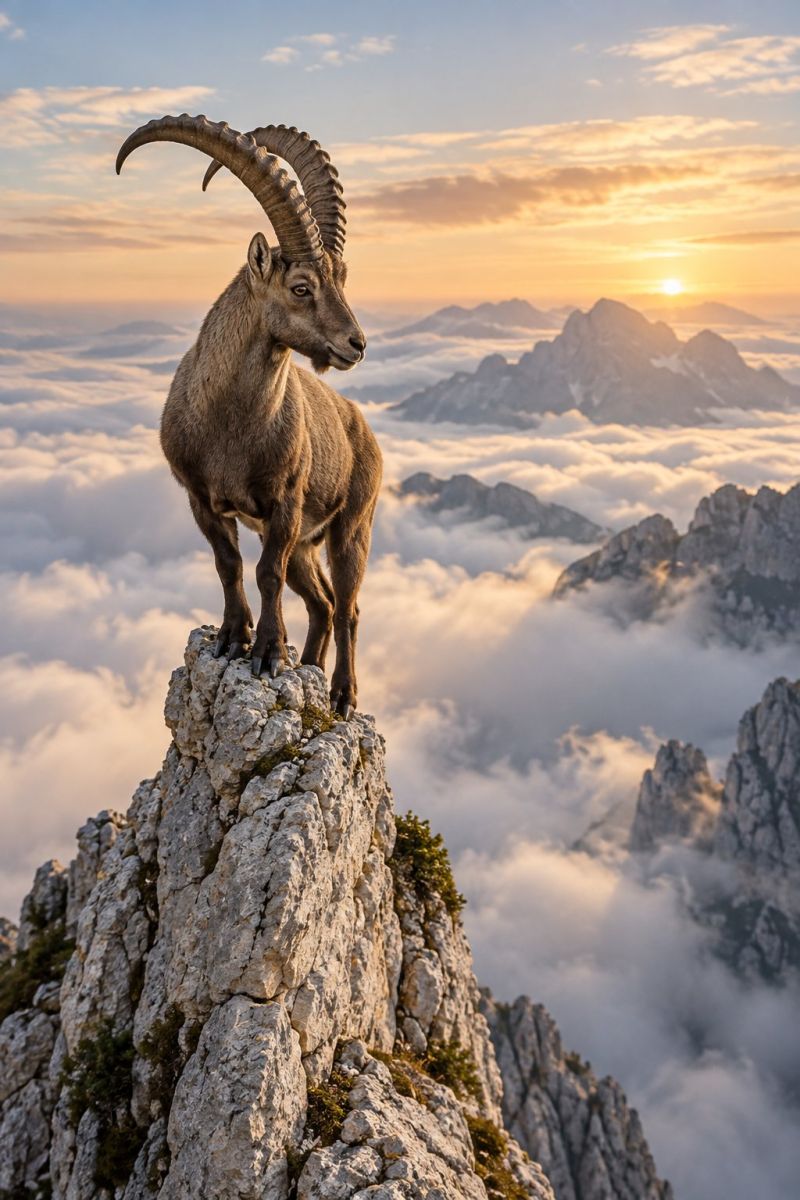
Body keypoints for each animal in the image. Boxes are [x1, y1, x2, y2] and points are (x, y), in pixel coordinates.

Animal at [116, 115, 382, 717]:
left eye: (343, 278)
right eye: (301, 286)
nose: (356, 345)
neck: (231, 429)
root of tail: (364, 429)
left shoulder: (284, 505)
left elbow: (266, 574)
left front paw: (267, 653)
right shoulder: (201, 497)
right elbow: (230, 565)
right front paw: (233, 638)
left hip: (351, 527)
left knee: (348, 606)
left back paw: (341, 692)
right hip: (309, 543)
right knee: (323, 602)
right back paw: (310, 666)